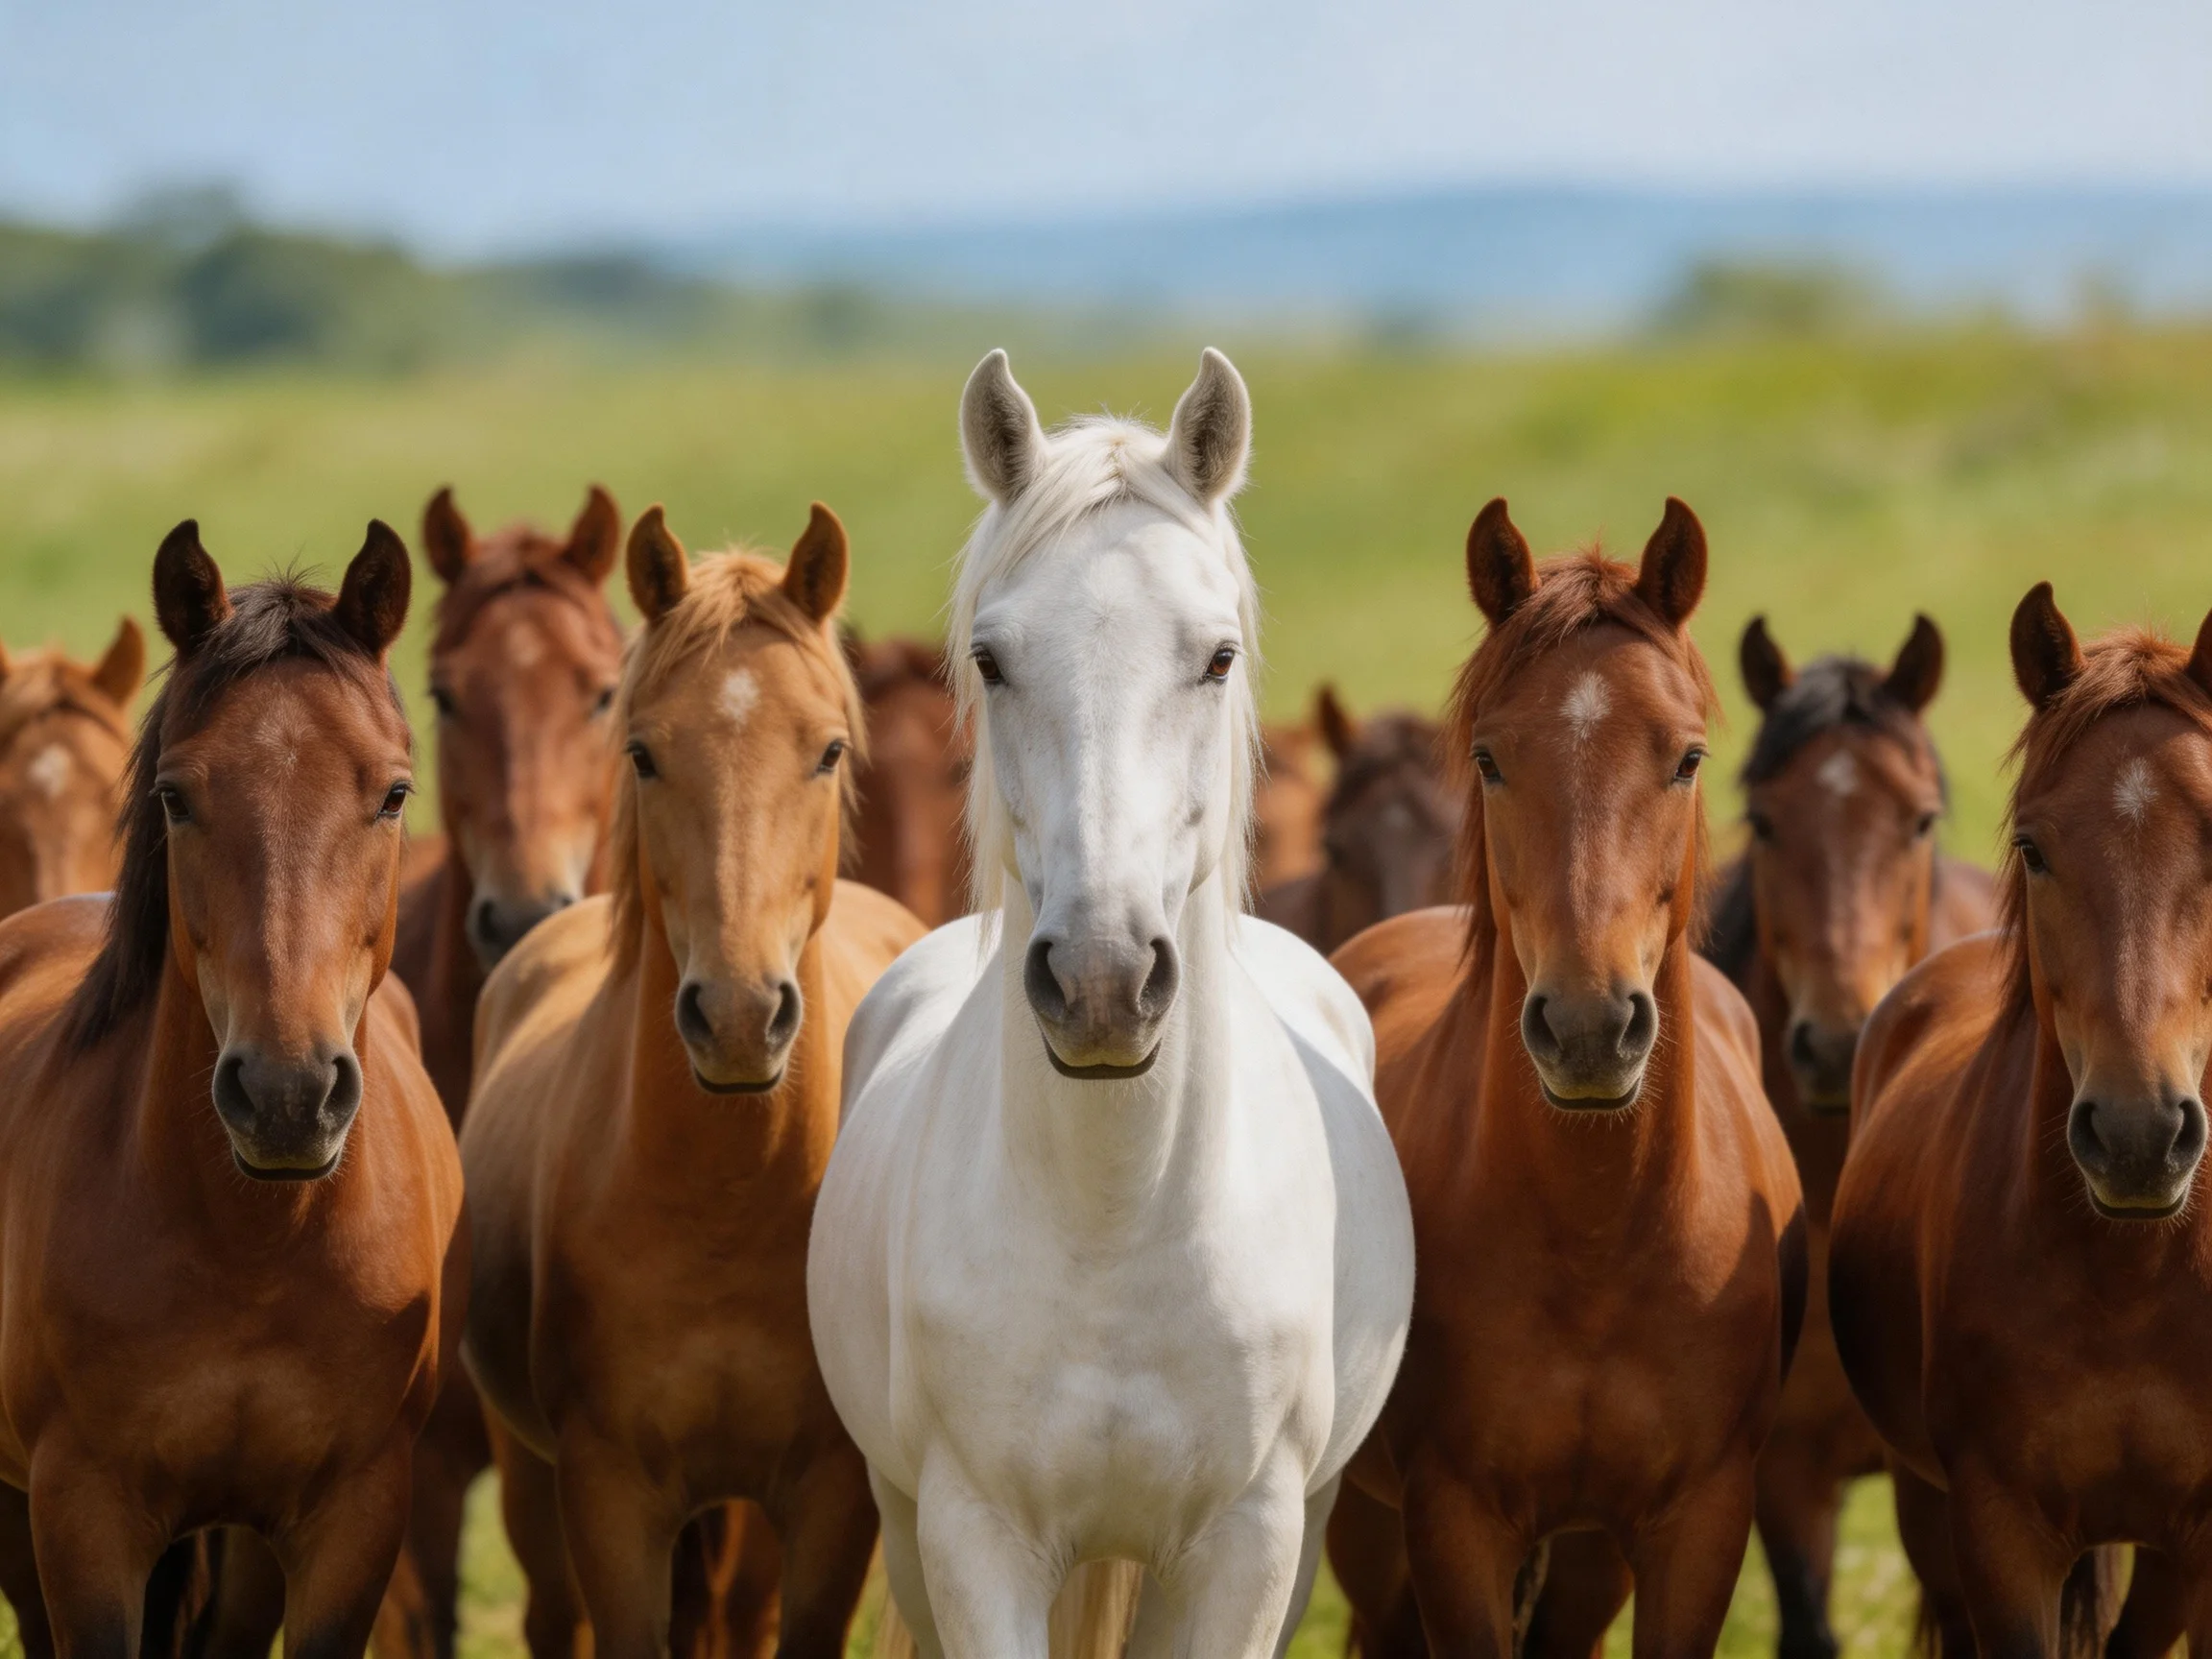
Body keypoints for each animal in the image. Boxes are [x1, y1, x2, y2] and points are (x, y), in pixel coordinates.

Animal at [461, 501, 925, 1659]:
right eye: (642, 752)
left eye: (828, 750)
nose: (739, 1017)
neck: (727, 1197)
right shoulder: (607, 1494)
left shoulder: (828, 1498)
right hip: (530, 1477)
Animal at [1322, 498, 1805, 1659]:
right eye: (1490, 759)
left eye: (1687, 757)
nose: (1589, 1028)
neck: (1596, 1239)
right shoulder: (1452, 1525)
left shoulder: (1697, 1529)